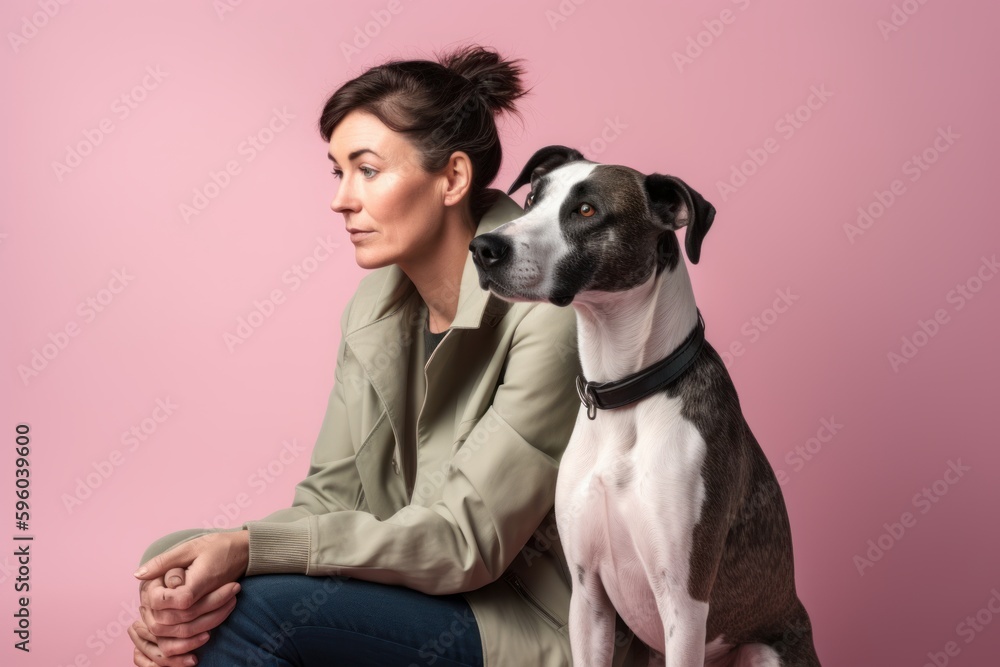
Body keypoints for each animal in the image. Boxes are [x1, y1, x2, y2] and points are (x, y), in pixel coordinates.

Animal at [468, 147, 820, 667]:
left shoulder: (684, 604)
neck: (625, 396)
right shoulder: (587, 598)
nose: (484, 247)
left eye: (586, 211)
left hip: (763, 649)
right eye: (532, 199)